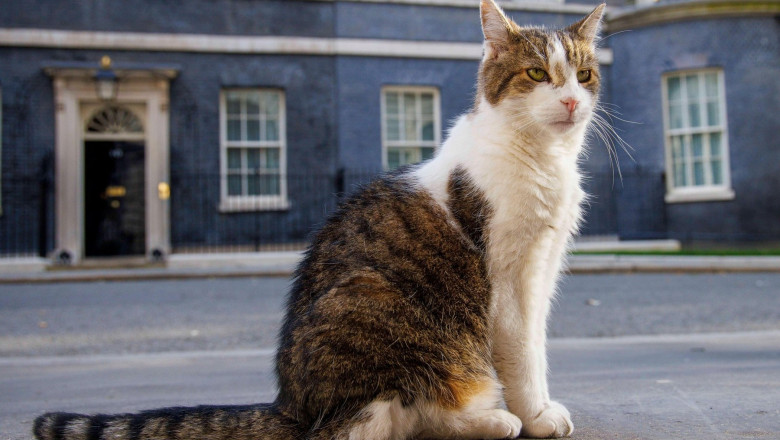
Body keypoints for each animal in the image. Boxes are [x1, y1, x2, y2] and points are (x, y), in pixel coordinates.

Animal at [35, 1, 608, 438]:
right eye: (536, 73)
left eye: (584, 74)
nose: (571, 101)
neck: (543, 159)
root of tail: (292, 405)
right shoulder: (511, 278)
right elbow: (523, 354)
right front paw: (536, 415)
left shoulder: (544, 266)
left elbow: (535, 347)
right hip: (381, 314)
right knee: (390, 419)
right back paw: (493, 420)